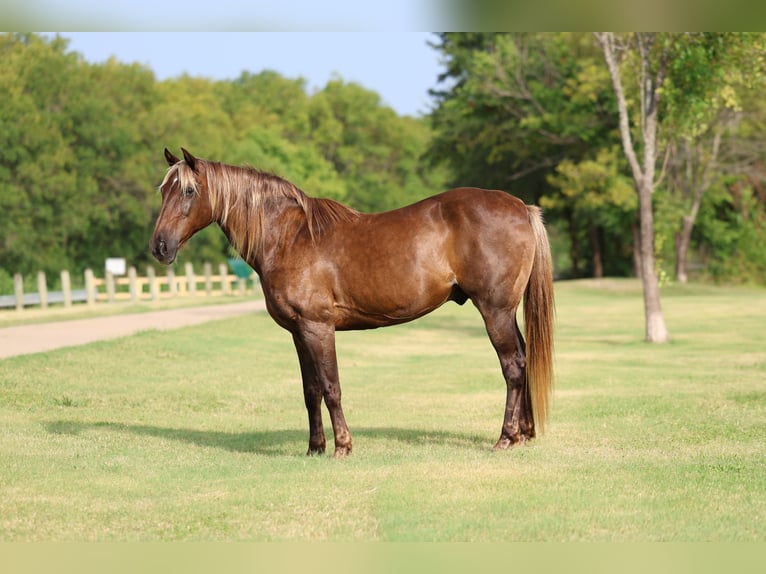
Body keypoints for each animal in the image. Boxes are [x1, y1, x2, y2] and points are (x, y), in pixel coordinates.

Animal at [151, 148, 554, 458]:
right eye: (163, 190)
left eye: (188, 191)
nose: (160, 246)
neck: (289, 237)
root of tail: (521, 207)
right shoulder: (298, 333)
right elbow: (310, 390)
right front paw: (314, 448)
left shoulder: (318, 328)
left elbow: (332, 387)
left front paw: (342, 446)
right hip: (506, 313)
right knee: (524, 358)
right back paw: (525, 433)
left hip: (494, 311)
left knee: (513, 367)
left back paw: (506, 438)